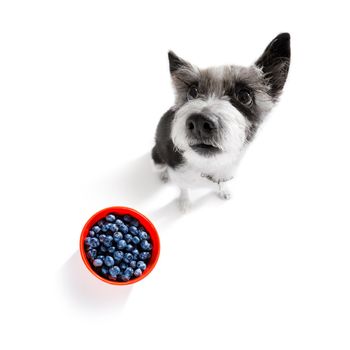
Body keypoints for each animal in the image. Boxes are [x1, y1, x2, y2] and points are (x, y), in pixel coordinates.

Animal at [152, 32, 292, 211]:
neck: (209, 164)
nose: (199, 123)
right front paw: (184, 202)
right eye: (192, 92)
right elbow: (183, 188)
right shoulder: (178, 173)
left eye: (244, 96)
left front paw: (223, 190)